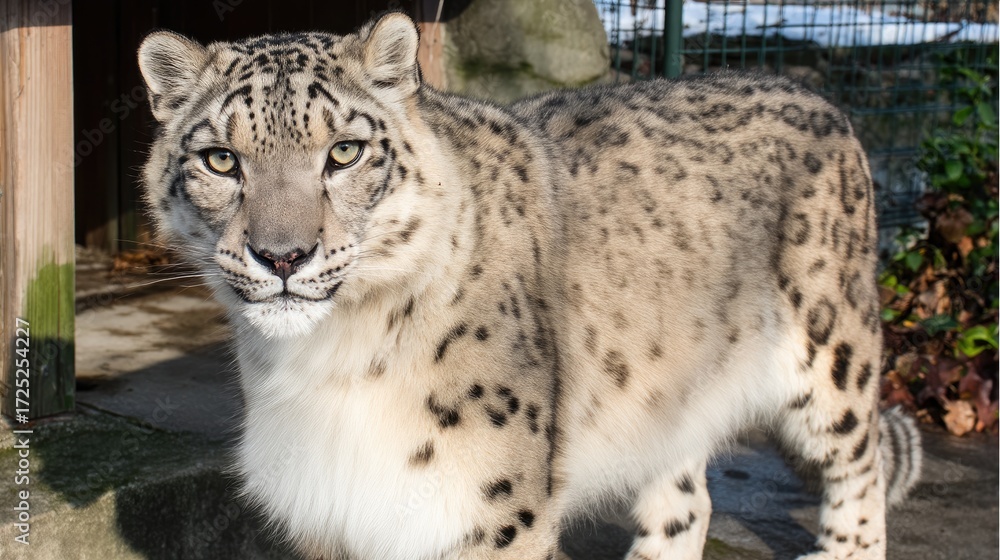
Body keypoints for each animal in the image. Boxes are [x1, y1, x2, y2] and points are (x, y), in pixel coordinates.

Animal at [137, 12, 922, 560]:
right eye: (220, 158)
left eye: (345, 152)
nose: (283, 256)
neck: (331, 360)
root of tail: (822, 99)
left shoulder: (490, 509)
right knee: (687, 499)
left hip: (830, 353)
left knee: (858, 468)